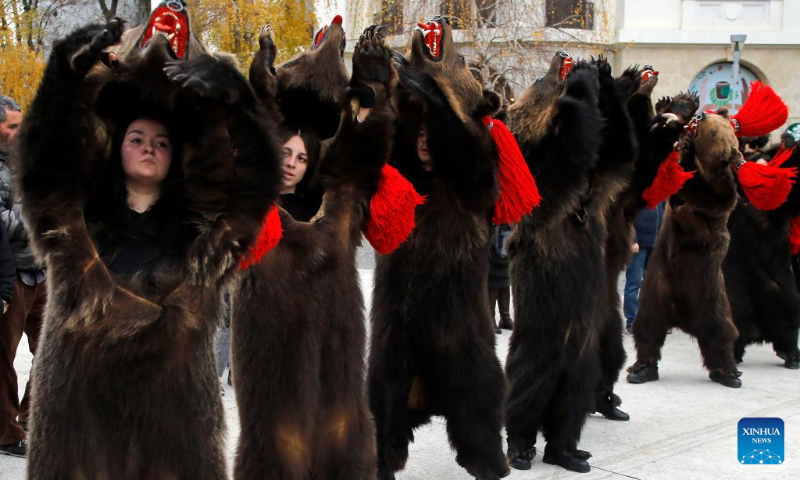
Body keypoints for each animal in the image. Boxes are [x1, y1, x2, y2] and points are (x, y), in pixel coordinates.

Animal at [16, 12, 282, 477]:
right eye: (137, 138)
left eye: (162, 142)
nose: (149, 151)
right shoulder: (59, 206)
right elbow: (48, 163)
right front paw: (79, 50)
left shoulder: (225, 228)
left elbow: (255, 184)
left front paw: (223, 81)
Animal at [230, 24, 397, 480]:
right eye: (312, 43)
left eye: (301, 155)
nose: (337, 24)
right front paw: (263, 57)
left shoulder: (343, 194)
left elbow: (360, 148)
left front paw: (374, 64)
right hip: (272, 420)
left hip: (351, 416)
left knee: (358, 448)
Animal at [367, 16, 510, 480]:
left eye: (463, 60)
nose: (443, 20)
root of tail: (431, 397)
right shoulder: (416, 175)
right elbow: (394, 166)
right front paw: (380, 61)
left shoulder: (472, 182)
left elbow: (470, 160)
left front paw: (418, 79)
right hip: (390, 352)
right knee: (383, 411)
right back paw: (385, 458)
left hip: (468, 342)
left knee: (483, 404)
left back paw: (490, 460)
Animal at [627, 110, 744, 388]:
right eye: (711, 116)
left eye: (715, 131)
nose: (700, 116)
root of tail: (683, 319)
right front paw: (677, 136)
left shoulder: (721, 193)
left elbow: (708, 196)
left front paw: (688, 150)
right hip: (658, 285)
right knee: (648, 324)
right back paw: (641, 368)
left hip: (710, 291)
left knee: (721, 331)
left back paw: (728, 373)